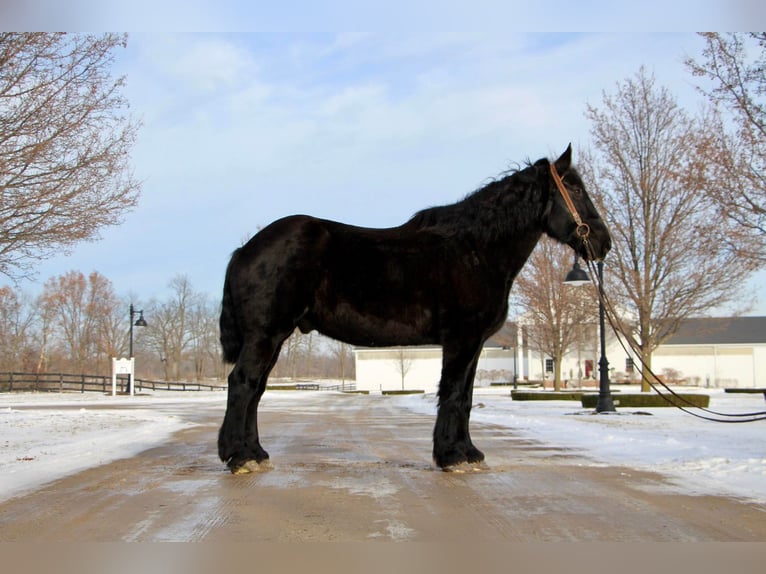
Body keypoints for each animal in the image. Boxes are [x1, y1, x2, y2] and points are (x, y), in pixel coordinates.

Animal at [220, 146, 612, 474]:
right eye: (575, 189)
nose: (603, 242)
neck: (476, 250)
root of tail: (244, 250)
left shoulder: (474, 345)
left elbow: (465, 397)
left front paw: (467, 452)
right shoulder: (462, 340)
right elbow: (452, 393)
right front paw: (452, 456)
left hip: (273, 337)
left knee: (256, 389)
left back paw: (255, 453)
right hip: (266, 335)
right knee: (243, 383)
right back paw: (239, 457)